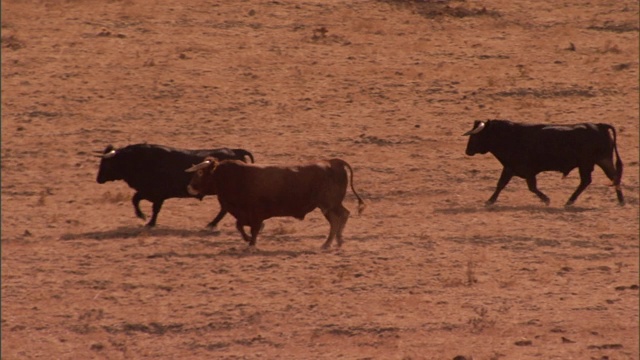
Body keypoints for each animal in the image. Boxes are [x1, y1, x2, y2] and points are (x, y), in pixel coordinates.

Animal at [95, 143, 255, 225]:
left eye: (106, 163)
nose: (98, 179)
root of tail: (235, 151)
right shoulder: (147, 192)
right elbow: (135, 200)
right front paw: (142, 216)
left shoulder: (157, 195)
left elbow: (154, 208)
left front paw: (149, 221)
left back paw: (213, 224)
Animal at [185, 159, 364, 249]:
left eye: (200, 172)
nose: (189, 187)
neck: (233, 177)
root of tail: (334, 162)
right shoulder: (242, 213)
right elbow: (240, 226)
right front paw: (247, 239)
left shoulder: (254, 214)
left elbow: (253, 228)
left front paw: (251, 244)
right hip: (330, 205)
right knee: (342, 216)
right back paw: (337, 241)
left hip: (328, 205)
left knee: (337, 219)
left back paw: (328, 243)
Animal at [462, 119, 624, 205]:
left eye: (475, 136)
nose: (467, 151)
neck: (510, 136)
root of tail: (599, 125)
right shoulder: (509, 168)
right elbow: (501, 184)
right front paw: (490, 201)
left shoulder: (526, 170)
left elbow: (531, 187)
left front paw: (546, 199)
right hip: (603, 161)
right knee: (614, 177)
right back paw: (621, 201)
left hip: (587, 164)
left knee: (587, 181)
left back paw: (569, 201)